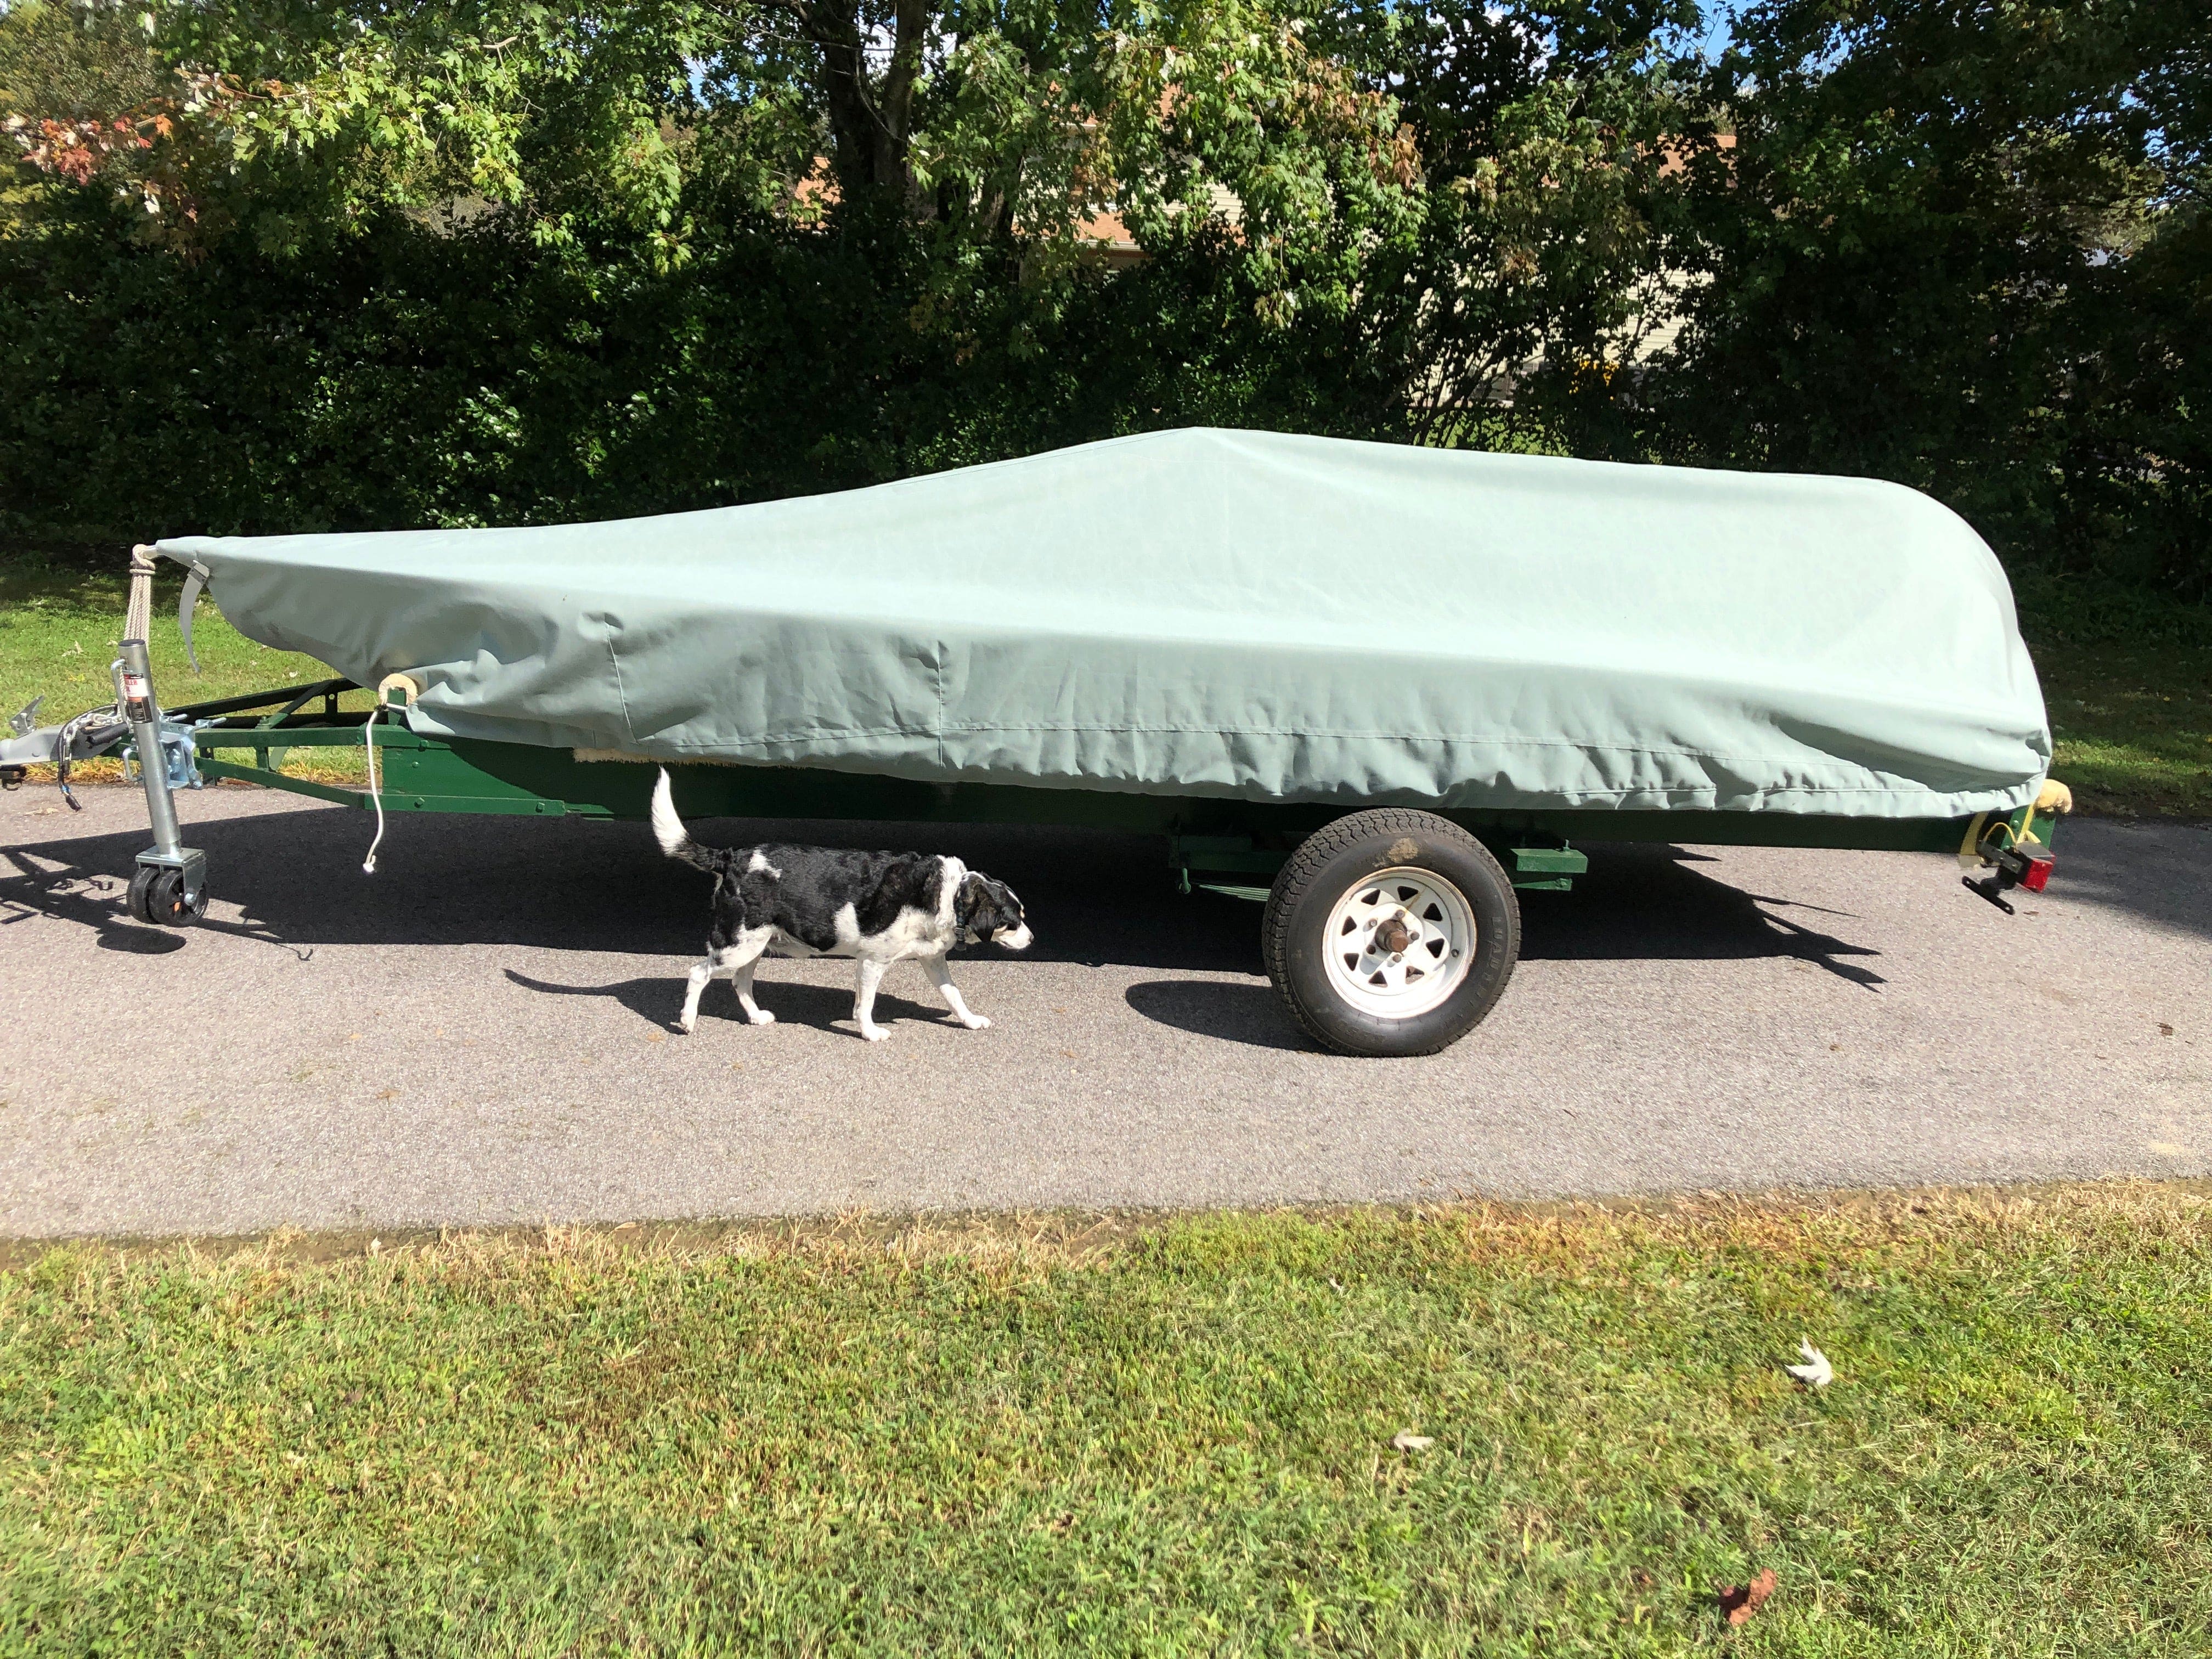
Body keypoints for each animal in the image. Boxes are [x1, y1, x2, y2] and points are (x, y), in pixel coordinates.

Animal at [650, 765, 1030, 1040]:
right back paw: (688, 1021)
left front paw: (970, 1021)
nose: (1031, 939)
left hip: (753, 946)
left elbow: (954, 995)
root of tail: (731, 857)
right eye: (1012, 922)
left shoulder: (933, 961)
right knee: (698, 974)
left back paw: (756, 1017)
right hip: (735, 945)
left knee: (740, 982)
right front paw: (870, 1034)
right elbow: (866, 1005)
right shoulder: (873, 961)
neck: (948, 893)